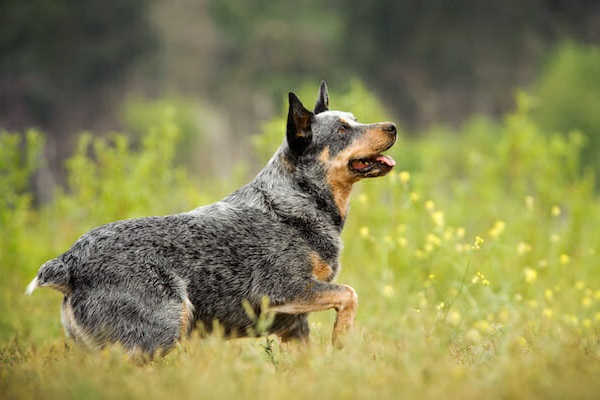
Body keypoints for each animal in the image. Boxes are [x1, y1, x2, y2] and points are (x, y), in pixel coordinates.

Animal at [25, 81, 396, 356]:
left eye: (355, 119)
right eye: (343, 130)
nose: (392, 126)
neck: (296, 201)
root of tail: (69, 261)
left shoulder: (294, 324)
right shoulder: (284, 291)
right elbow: (350, 293)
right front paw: (341, 337)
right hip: (163, 328)